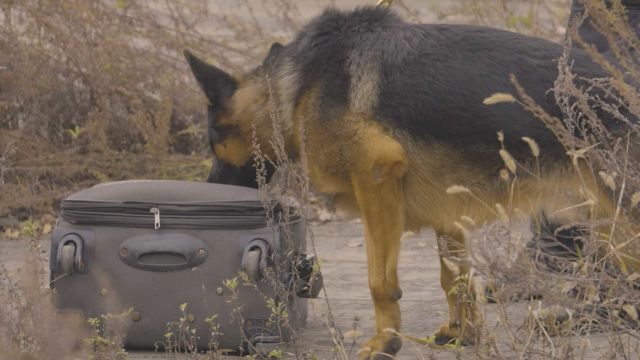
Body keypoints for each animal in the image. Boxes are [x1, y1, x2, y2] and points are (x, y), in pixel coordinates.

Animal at [188, 6, 636, 360]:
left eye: (213, 142)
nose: (209, 187)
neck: (296, 84)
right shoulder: (448, 211)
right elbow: (454, 279)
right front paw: (462, 333)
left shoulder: (375, 178)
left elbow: (380, 282)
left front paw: (386, 343)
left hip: (621, 221)